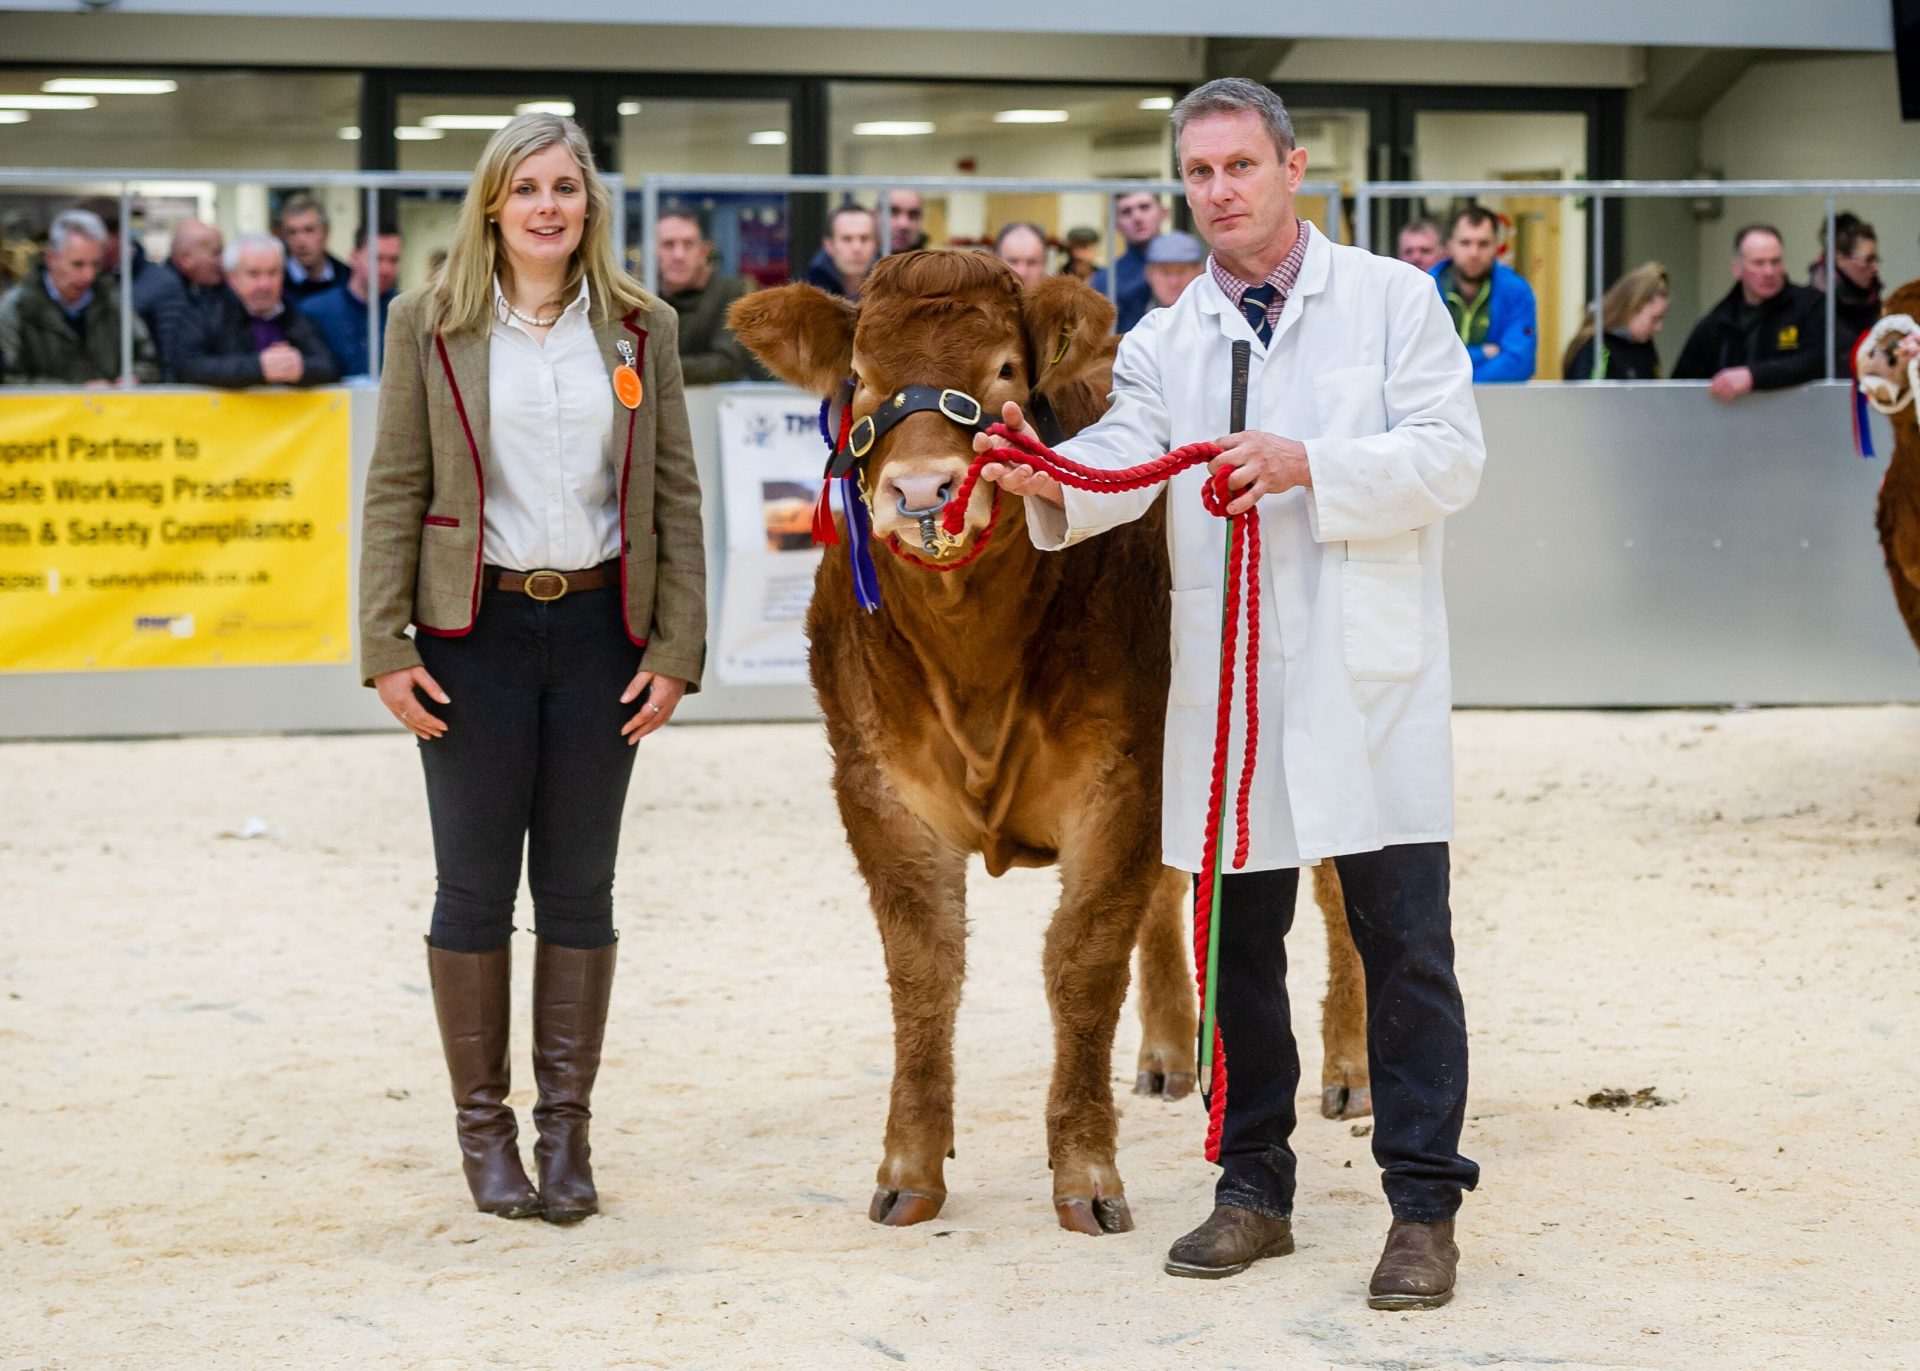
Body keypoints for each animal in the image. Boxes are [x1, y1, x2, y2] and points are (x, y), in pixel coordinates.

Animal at [725, 251, 1374, 1236]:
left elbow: (1081, 961)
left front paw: (1086, 1171)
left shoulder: (1120, 782)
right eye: (860, 379)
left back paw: (1352, 1066)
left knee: (1345, 890)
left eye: (1003, 370)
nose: (922, 491)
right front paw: (910, 1166)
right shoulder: (878, 788)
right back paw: (1168, 1051)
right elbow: (924, 967)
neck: (973, 657)